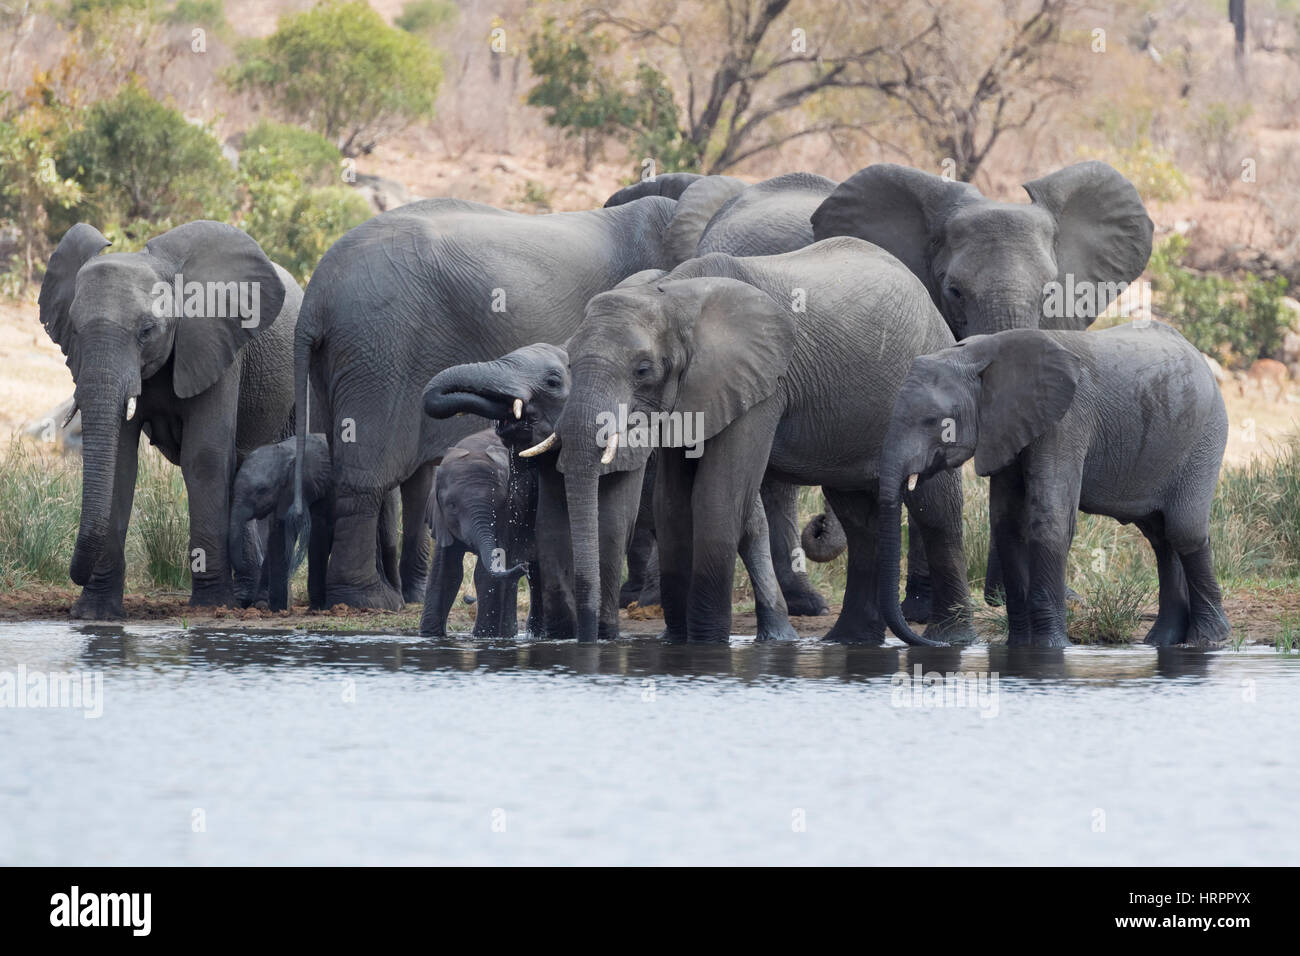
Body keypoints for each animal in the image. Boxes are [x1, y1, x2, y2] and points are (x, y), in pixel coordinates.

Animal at [36, 221, 301, 616]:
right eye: (76, 330)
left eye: (147, 331)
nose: (73, 575)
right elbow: (121, 461)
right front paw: (95, 613)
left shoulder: (215, 344)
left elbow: (204, 458)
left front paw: (210, 608)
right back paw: (246, 598)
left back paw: (262, 603)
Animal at [228, 434, 397, 608]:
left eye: (261, 490)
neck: (289, 451)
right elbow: (279, 532)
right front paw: (278, 609)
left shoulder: (326, 486)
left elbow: (320, 529)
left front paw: (316, 607)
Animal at [553, 235, 972, 647]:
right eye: (569, 362)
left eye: (642, 370)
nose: (589, 640)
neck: (674, 294)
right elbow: (672, 505)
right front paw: (679, 643)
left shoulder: (763, 385)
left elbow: (718, 498)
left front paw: (706, 643)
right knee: (858, 519)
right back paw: (847, 641)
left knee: (936, 510)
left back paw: (950, 639)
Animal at [873, 323, 1227, 650]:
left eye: (934, 421)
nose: (938, 645)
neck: (978, 354)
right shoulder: (1008, 427)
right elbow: (1007, 524)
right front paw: (1018, 647)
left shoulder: (1066, 420)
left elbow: (1048, 519)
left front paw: (1050, 648)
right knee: (1161, 537)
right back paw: (1162, 641)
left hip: (1204, 440)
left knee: (1184, 530)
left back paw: (1208, 640)